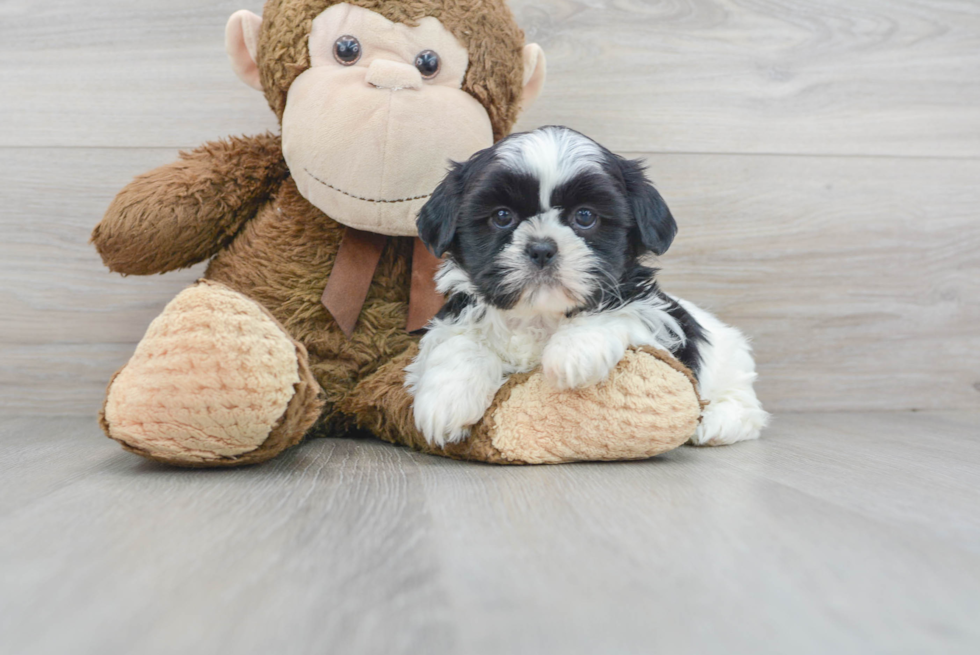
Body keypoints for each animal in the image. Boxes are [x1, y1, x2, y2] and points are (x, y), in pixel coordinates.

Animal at [402, 125, 768, 448]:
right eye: (502, 216)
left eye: (585, 216)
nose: (541, 248)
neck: (539, 315)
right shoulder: (456, 316)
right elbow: (459, 341)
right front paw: (446, 399)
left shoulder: (655, 324)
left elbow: (619, 311)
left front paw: (573, 352)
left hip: (732, 365)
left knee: (746, 407)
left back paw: (716, 423)